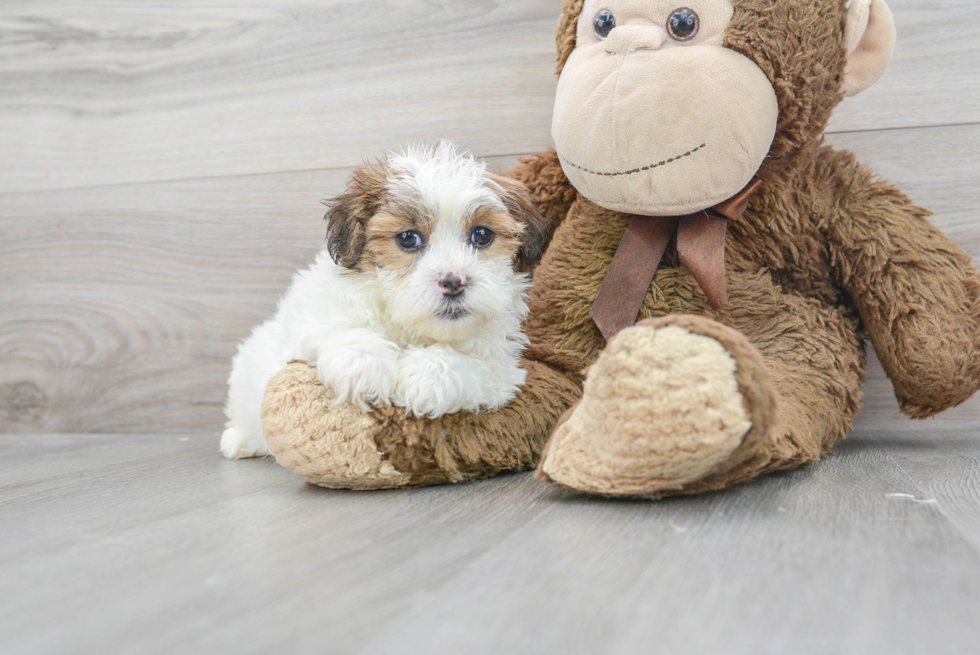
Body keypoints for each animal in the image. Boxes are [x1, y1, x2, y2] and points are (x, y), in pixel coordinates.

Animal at [217, 142, 548, 462]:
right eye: (408, 238)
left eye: (481, 235)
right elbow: (336, 327)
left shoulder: (503, 369)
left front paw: (429, 376)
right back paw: (240, 440)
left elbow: (473, 365)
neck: (407, 326)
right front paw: (362, 362)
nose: (454, 281)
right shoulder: (314, 315)